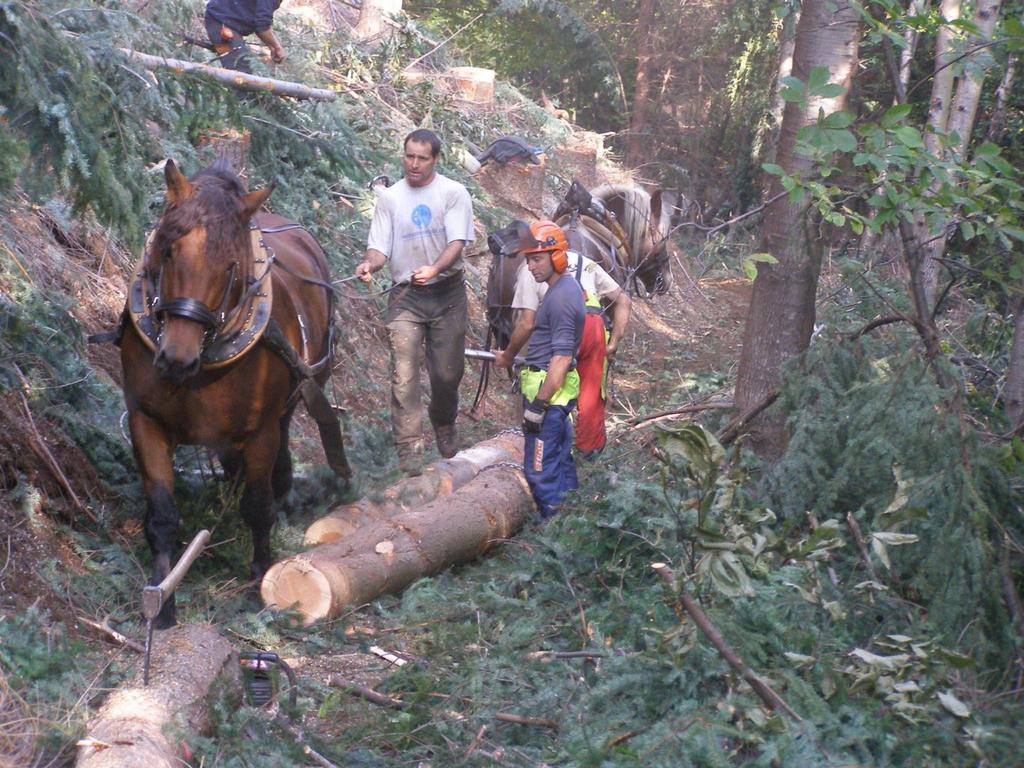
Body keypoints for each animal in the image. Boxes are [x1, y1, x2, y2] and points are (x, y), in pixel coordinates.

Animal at [120, 157, 348, 630]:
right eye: (167, 250)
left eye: (230, 266)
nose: (176, 358)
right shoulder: (145, 420)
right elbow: (162, 515)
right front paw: (162, 601)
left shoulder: (259, 432)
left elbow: (257, 506)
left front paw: (260, 578)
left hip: (301, 389)